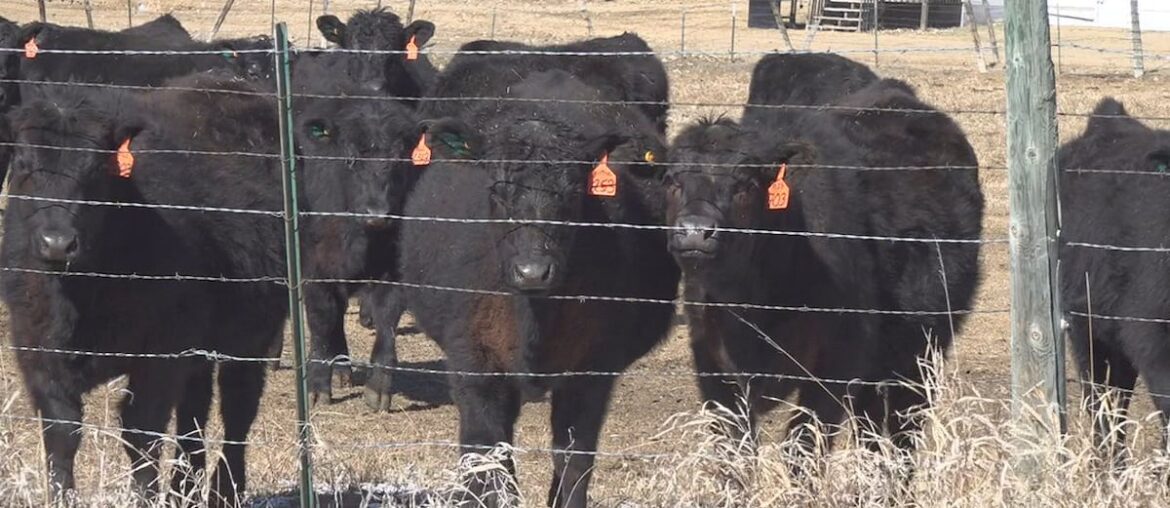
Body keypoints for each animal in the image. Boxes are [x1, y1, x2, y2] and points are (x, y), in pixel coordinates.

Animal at [1, 75, 288, 506]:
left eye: (97, 167)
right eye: (23, 163)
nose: (57, 243)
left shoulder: (160, 355)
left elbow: (142, 432)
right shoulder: (37, 351)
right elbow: (62, 433)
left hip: (252, 335)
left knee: (238, 409)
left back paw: (225, 490)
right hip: (201, 348)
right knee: (193, 413)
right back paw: (185, 488)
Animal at [399, 68, 677, 508]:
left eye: (572, 192)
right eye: (496, 190)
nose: (533, 272)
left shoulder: (592, 372)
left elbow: (574, 460)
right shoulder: (473, 364)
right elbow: (486, 458)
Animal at [665, 78, 983, 463]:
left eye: (745, 185)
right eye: (672, 182)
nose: (694, 230)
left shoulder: (835, 365)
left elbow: (803, 448)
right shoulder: (712, 365)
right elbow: (735, 452)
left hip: (923, 350)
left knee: (904, 430)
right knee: (870, 431)